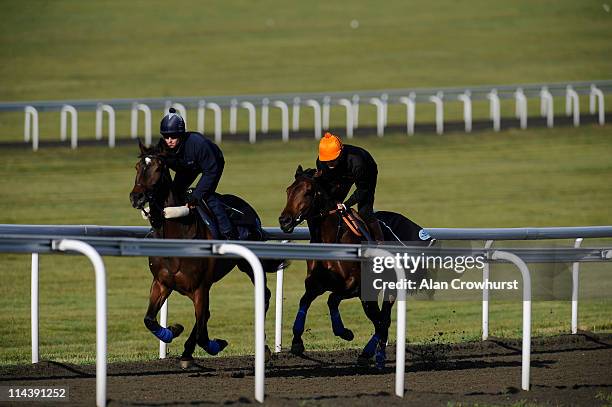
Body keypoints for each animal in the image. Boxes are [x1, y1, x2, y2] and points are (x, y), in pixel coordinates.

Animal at [131, 139, 282, 368]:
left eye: (158, 168)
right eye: (137, 167)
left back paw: (263, 348)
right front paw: (172, 331)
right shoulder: (161, 283)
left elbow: (202, 333)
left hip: (248, 265)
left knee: (263, 295)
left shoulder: (200, 288)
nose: (136, 197)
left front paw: (214, 345)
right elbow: (149, 320)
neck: (178, 235)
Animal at [278, 165, 430, 370]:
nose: (284, 221)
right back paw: (371, 354)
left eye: (308, 192)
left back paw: (375, 355)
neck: (331, 241)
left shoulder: (355, 286)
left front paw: (344, 332)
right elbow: (304, 301)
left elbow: (332, 299)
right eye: (288, 191)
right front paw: (297, 342)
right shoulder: (316, 284)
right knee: (379, 319)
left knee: (384, 320)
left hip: (389, 287)